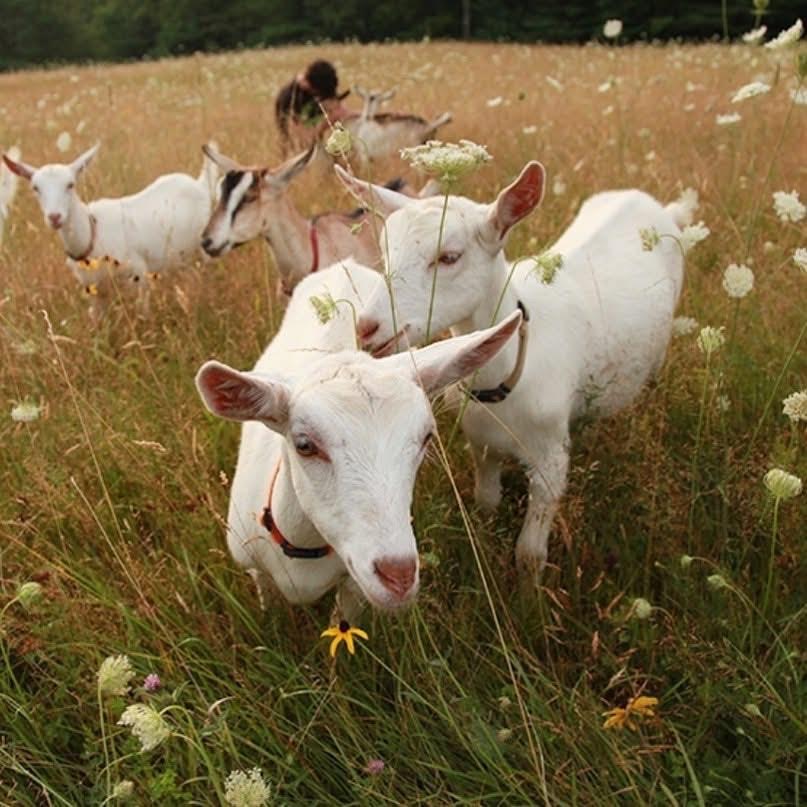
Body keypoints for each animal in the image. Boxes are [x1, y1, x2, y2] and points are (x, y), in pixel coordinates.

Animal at [3, 144, 219, 313]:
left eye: (70, 184)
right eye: (35, 188)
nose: (55, 217)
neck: (93, 233)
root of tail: (199, 184)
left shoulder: (139, 276)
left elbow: (143, 313)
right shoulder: (95, 291)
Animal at [195, 259, 521, 617]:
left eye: (426, 438)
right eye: (305, 445)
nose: (398, 577)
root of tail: (344, 264)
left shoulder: (354, 587)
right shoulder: (255, 568)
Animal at [340, 162, 695, 580]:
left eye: (449, 256)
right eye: (384, 252)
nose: (368, 328)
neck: (507, 372)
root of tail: (660, 207)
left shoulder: (550, 463)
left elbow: (528, 554)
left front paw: (531, 594)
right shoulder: (482, 444)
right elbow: (486, 501)